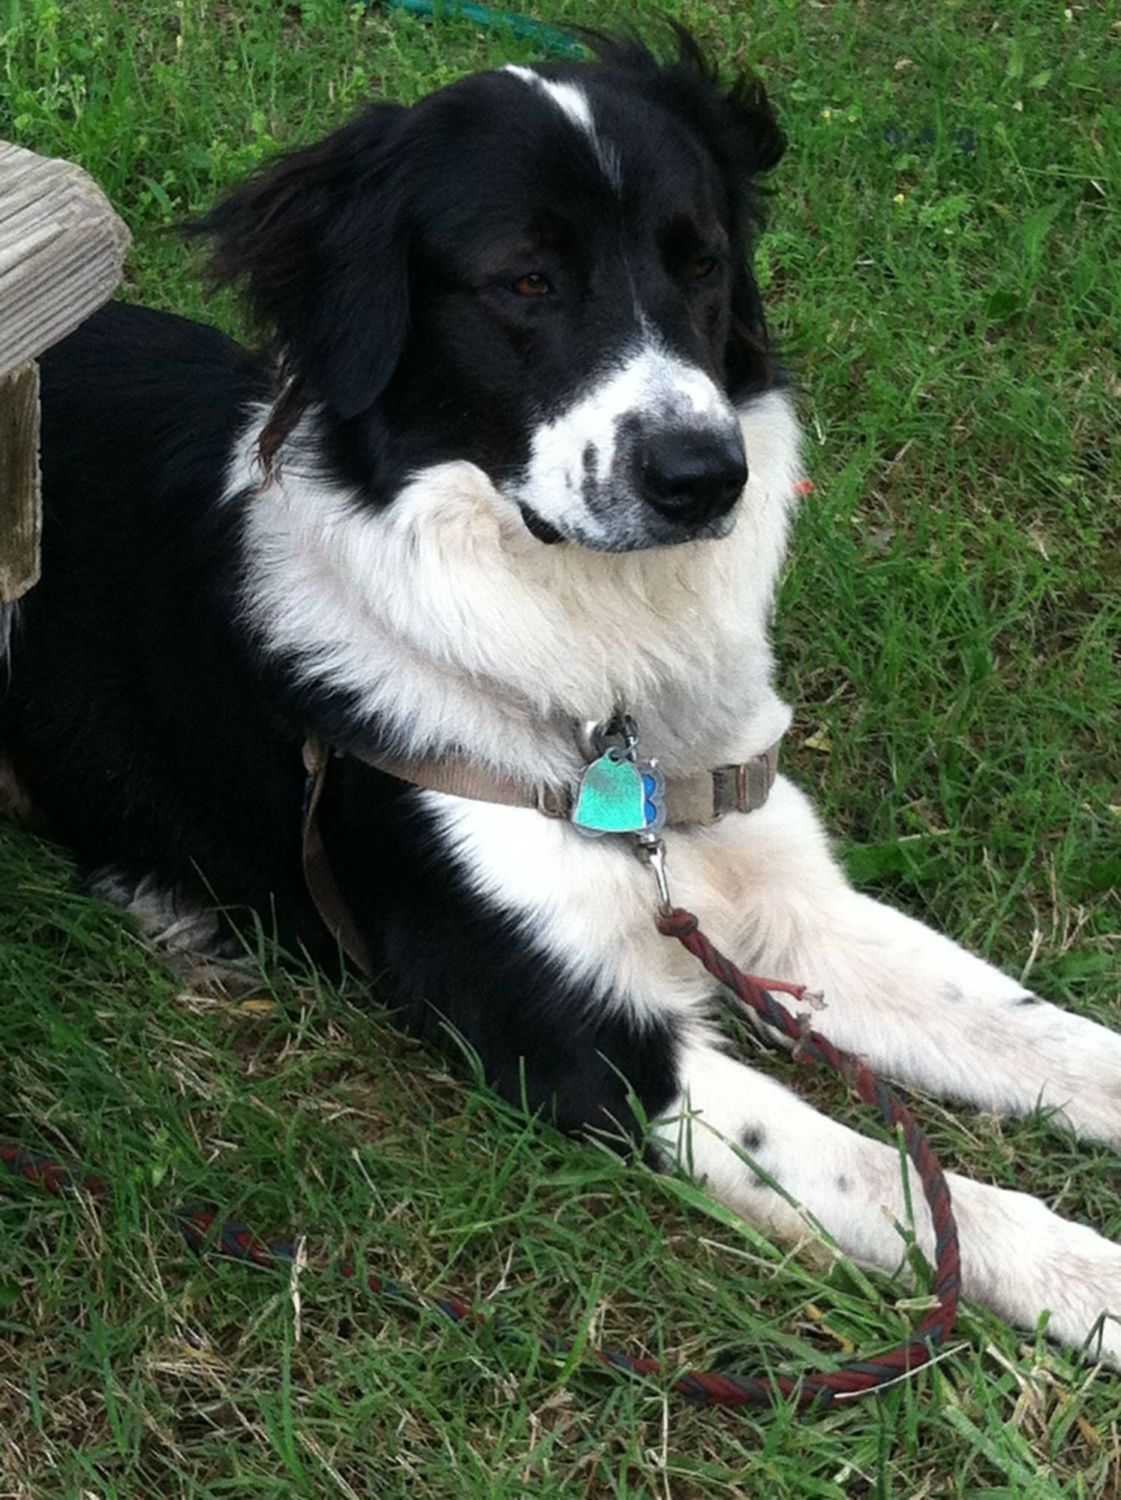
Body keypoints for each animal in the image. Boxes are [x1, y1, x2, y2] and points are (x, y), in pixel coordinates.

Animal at [4, 34, 1120, 1364]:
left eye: (699, 261)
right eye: (525, 281)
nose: (703, 478)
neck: (600, 683)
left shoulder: (784, 899)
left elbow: (1033, 1029)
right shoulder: (572, 1035)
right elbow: (882, 1171)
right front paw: (1083, 1275)